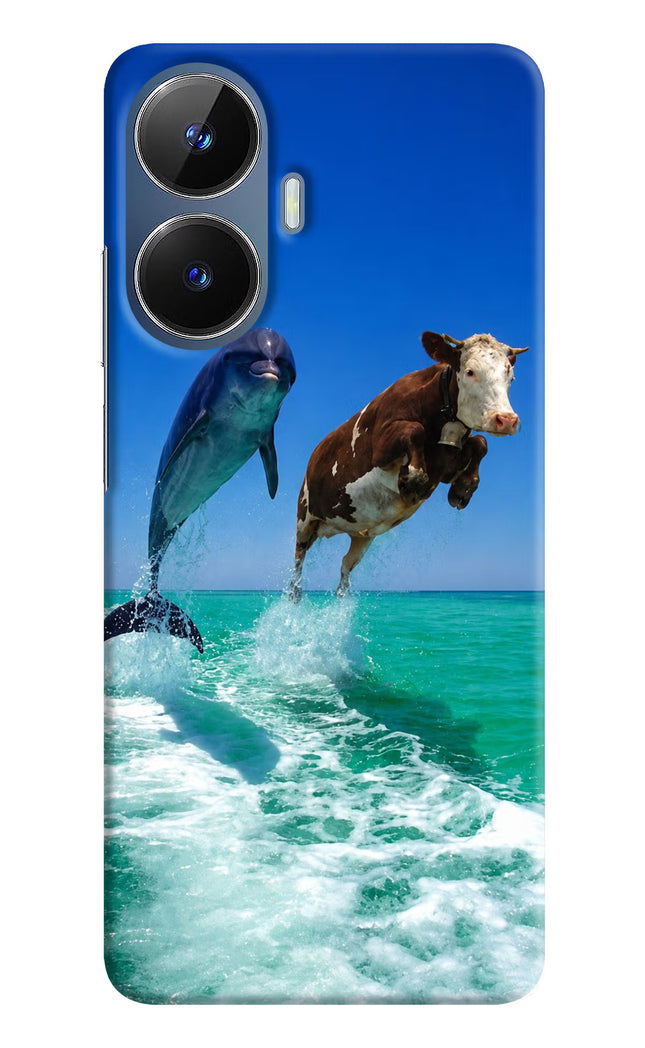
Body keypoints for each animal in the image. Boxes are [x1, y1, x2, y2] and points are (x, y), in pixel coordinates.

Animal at [288, 330, 528, 600]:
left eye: (510, 375)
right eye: (470, 371)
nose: (506, 420)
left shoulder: (445, 466)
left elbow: (480, 442)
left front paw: (463, 489)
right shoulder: (380, 447)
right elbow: (415, 430)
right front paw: (413, 479)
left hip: (361, 535)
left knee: (345, 565)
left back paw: (342, 597)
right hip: (304, 517)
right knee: (298, 561)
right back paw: (295, 594)